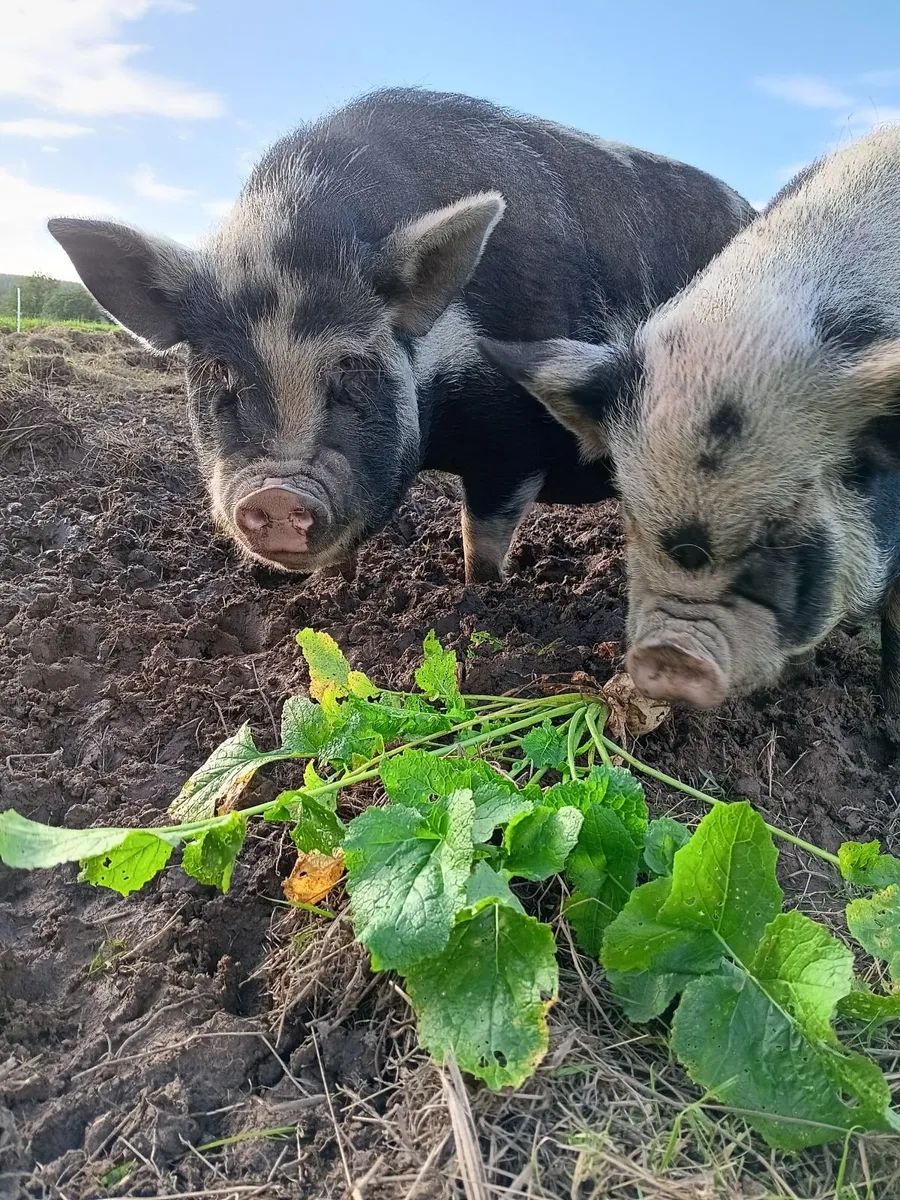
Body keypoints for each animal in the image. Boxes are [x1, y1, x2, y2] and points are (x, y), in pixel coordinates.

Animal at [48, 87, 753, 584]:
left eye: (354, 366)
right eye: (221, 370)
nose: (276, 492)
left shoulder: (514, 442)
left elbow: (482, 538)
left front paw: (478, 598)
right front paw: (340, 591)